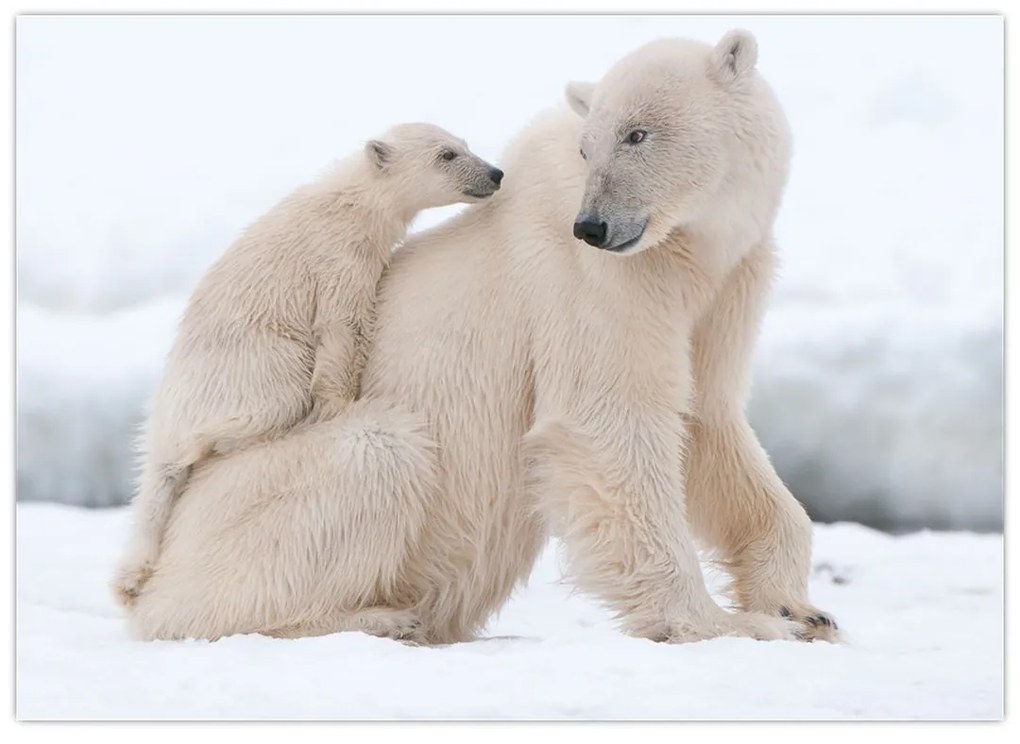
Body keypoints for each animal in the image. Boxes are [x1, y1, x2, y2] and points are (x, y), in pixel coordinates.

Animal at [131, 30, 840, 645]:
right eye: (588, 147)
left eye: (638, 133)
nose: (594, 225)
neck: (687, 249)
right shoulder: (594, 284)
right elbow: (610, 421)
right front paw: (728, 623)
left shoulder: (725, 286)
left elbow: (708, 420)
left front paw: (801, 609)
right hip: (255, 496)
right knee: (374, 453)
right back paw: (377, 617)